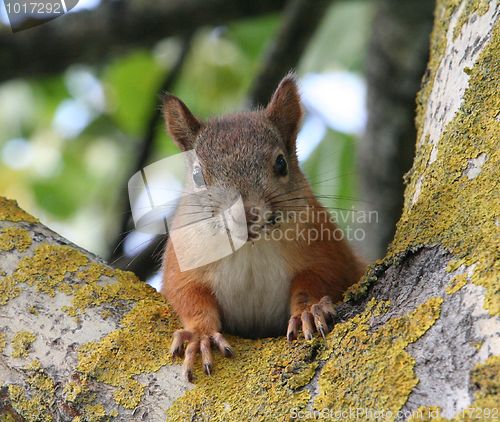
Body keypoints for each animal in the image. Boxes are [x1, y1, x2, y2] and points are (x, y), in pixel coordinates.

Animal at [160, 76, 364, 382]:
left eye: (281, 163)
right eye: (196, 176)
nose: (244, 214)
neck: (250, 249)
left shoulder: (328, 252)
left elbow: (318, 279)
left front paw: (308, 311)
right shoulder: (182, 261)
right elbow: (188, 295)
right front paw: (200, 335)